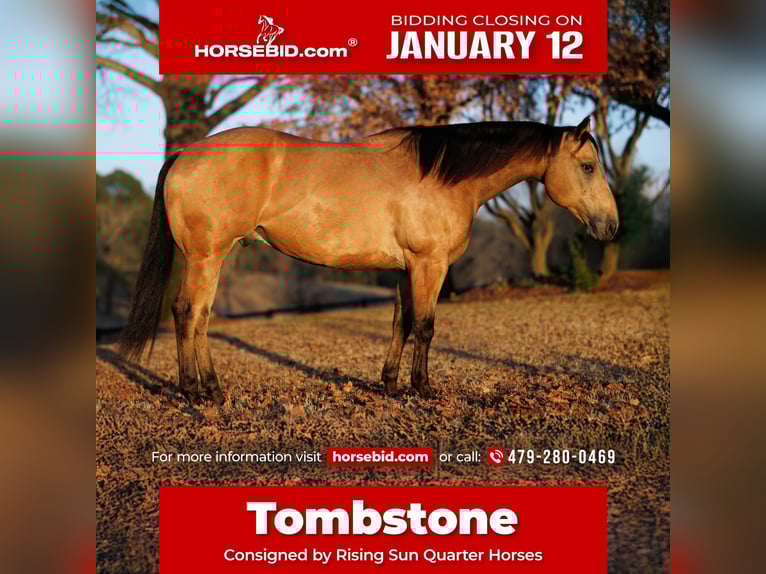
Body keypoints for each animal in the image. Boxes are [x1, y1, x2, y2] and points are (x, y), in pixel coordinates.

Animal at [118, 117, 618, 405]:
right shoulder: (429, 265)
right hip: (206, 257)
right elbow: (426, 326)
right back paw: (194, 393)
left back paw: (213, 390)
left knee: (200, 318)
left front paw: (391, 384)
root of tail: (186, 154)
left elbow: (402, 322)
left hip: (211, 259)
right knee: (188, 314)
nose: (611, 225)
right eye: (589, 167)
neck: (442, 174)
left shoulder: (404, 268)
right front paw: (423, 388)